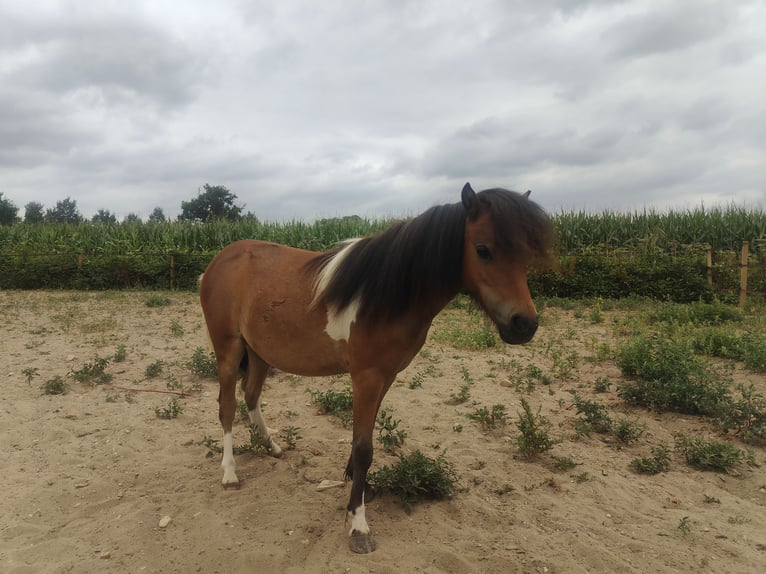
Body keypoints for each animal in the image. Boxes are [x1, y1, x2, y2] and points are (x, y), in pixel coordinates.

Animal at [199, 183, 553, 553]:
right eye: (483, 250)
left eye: (526, 253)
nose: (524, 324)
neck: (386, 295)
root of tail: (219, 261)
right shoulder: (366, 377)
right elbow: (363, 448)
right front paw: (358, 525)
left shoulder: (385, 376)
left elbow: (363, 440)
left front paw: (361, 488)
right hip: (228, 350)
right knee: (227, 406)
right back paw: (230, 473)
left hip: (260, 352)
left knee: (251, 395)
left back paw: (272, 447)